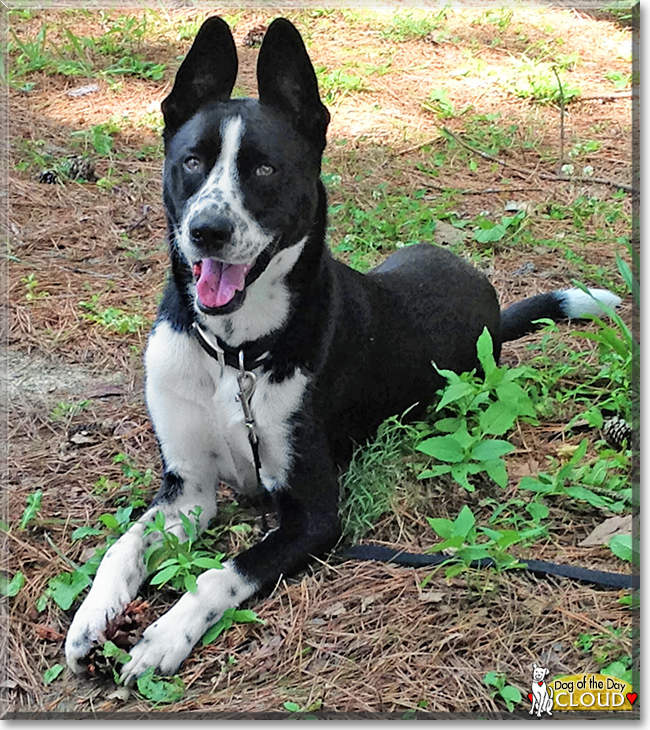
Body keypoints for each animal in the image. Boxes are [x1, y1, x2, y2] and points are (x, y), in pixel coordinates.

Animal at [66, 15, 616, 684]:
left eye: (266, 170)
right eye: (192, 161)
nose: (206, 231)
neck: (236, 354)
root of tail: (482, 287)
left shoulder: (315, 514)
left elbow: (223, 573)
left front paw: (163, 635)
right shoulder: (187, 489)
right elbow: (122, 547)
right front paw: (91, 617)